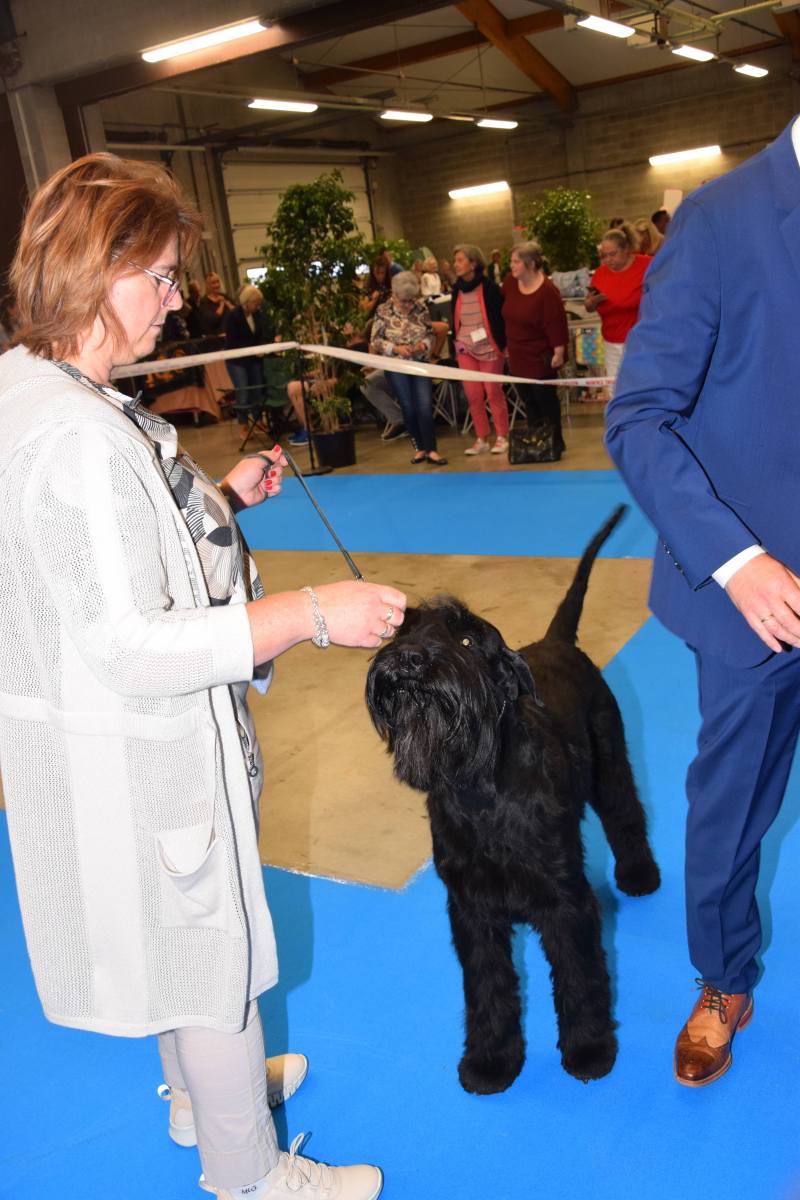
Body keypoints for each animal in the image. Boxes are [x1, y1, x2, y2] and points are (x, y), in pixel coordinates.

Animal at [365, 504, 660, 1094]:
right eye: (406, 629)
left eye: (467, 642)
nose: (407, 660)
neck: (479, 787)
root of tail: (557, 642)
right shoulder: (471, 910)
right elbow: (488, 990)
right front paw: (491, 1061)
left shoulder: (563, 902)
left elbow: (580, 976)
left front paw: (589, 1049)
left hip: (611, 764)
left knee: (626, 814)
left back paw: (639, 875)